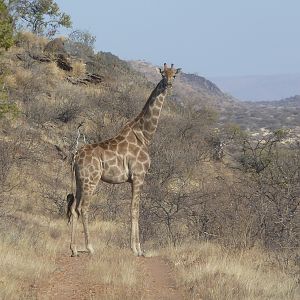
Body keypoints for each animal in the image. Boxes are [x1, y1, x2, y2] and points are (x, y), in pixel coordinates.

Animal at [68, 63, 180, 255]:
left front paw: (136, 247)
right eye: (163, 75)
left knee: (75, 208)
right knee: (83, 208)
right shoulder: (139, 175)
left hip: (80, 181)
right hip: (91, 180)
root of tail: (75, 156)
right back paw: (90, 247)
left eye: (175, 75)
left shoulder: (133, 179)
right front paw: (137, 249)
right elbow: (135, 210)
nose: (169, 84)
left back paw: (74, 249)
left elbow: (132, 209)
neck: (145, 135)